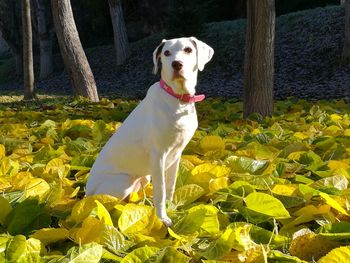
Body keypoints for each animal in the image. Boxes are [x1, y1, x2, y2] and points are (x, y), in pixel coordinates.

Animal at [86, 37, 215, 227]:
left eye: (188, 49)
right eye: (166, 53)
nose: (177, 64)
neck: (178, 100)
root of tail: (86, 193)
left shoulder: (177, 154)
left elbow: (170, 185)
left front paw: (171, 207)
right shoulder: (159, 155)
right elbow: (160, 191)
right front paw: (162, 218)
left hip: (144, 178)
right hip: (122, 181)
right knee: (107, 203)